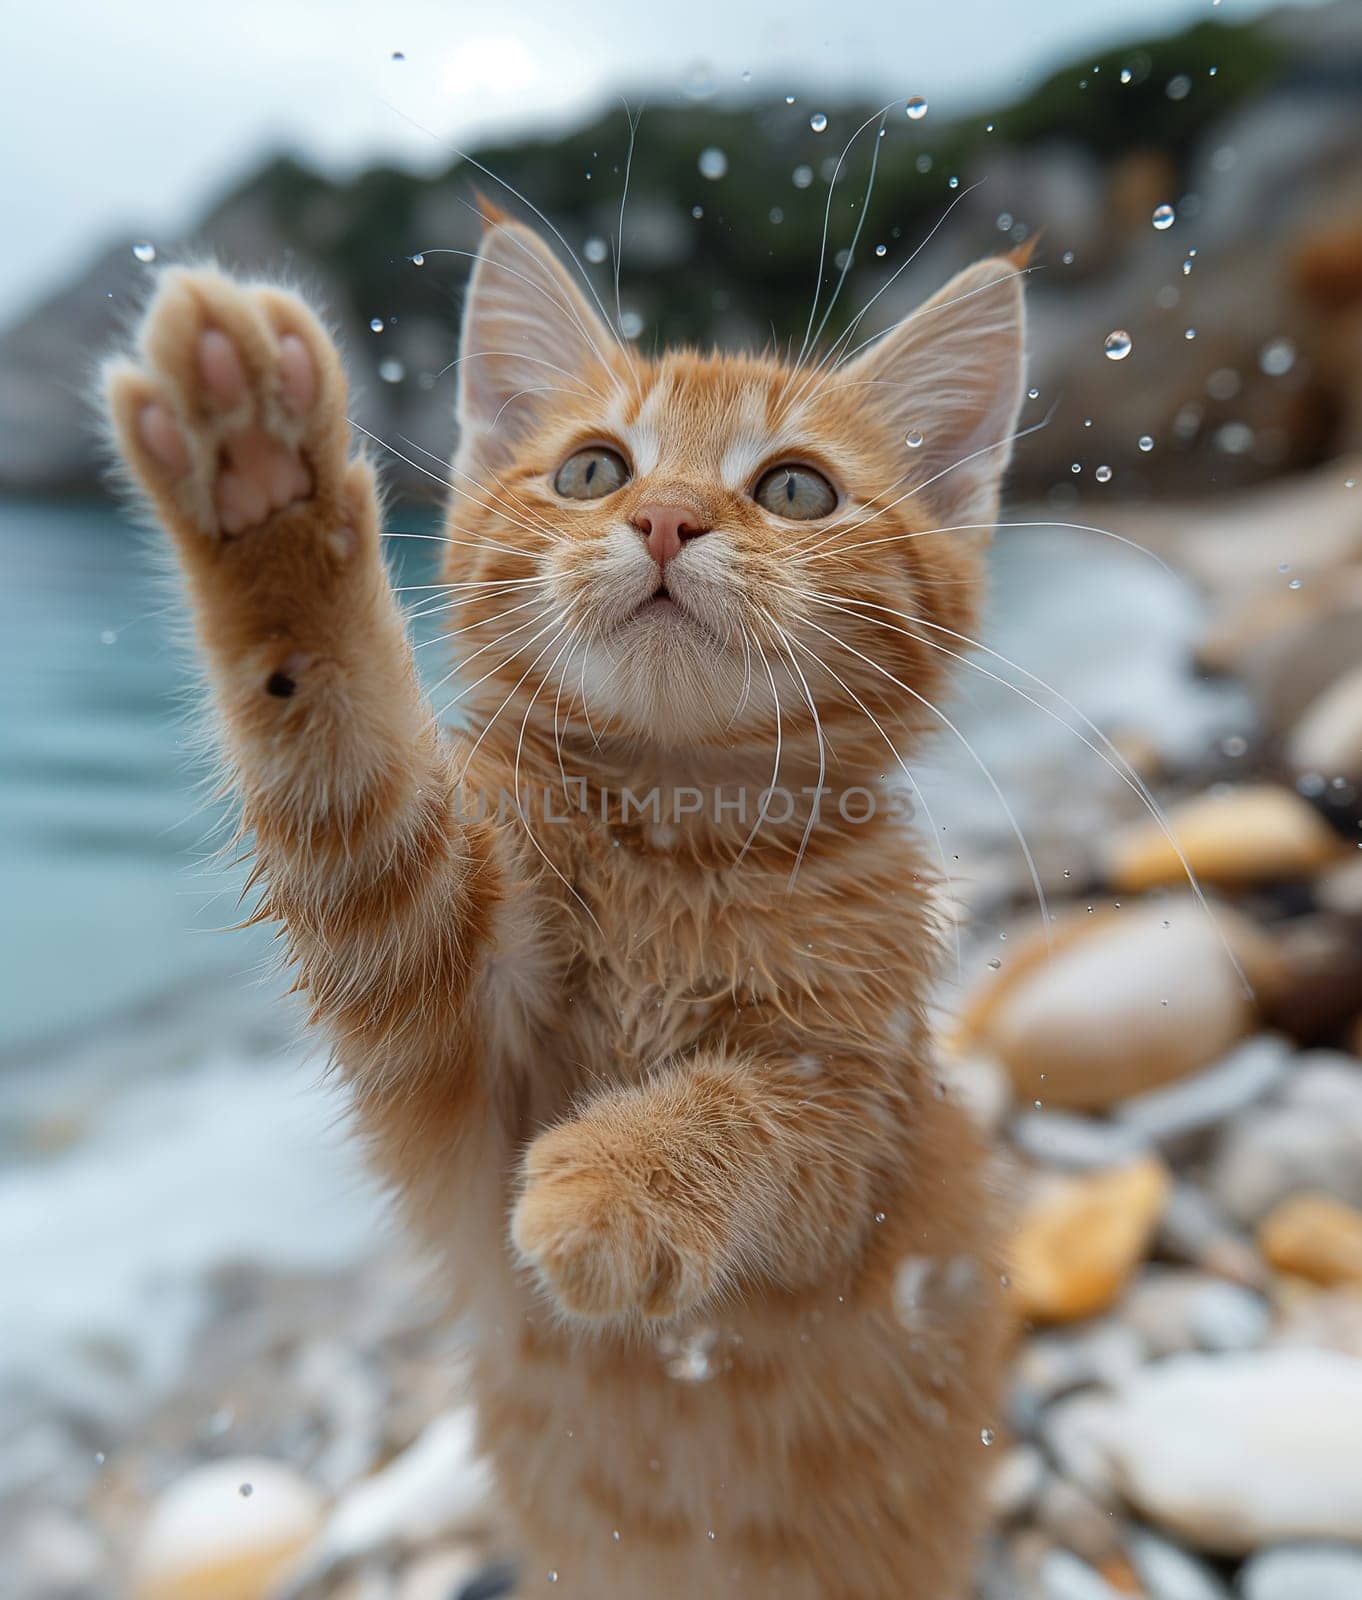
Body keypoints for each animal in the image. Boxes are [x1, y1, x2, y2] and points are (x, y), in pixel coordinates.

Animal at [104, 209, 1024, 1587]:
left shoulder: (863, 1138)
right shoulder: (434, 999)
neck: (674, 847)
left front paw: (613, 1186)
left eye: (794, 489)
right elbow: (345, 763)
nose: (669, 519)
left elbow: (751, 1110)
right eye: (595, 470)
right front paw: (259, 477)